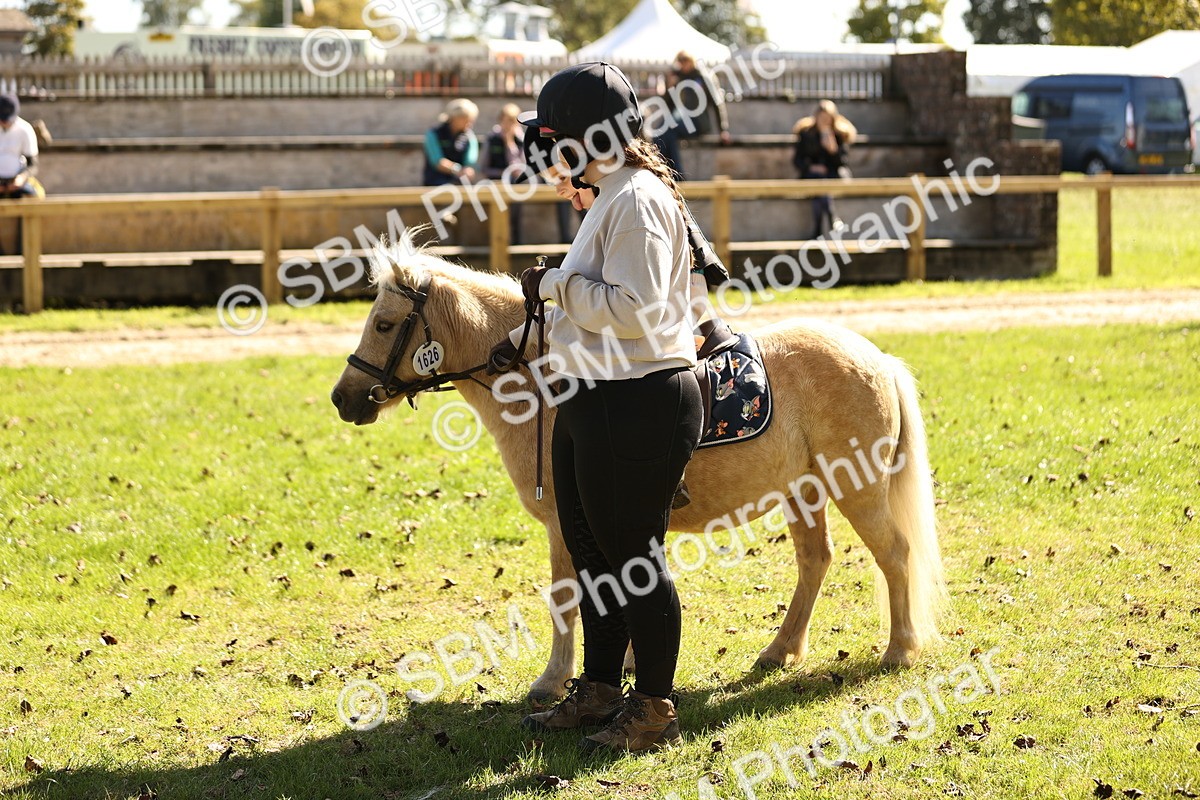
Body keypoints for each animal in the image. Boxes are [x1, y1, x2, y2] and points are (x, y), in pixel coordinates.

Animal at [330, 237, 946, 703]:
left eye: (383, 324)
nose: (343, 398)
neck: (544, 382)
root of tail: (878, 359)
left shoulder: (565, 523)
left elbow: (567, 597)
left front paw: (552, 681)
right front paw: (621, 665)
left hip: (857, 487)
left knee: (894, 554)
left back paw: (899, 649)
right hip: (805, 491)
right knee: (815, 560)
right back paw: (780, 651)